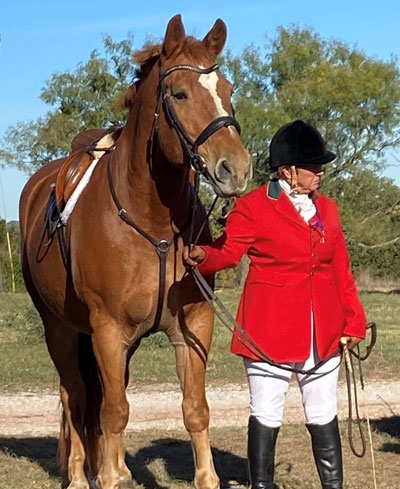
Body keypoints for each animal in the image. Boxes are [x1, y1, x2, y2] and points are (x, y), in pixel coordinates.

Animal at [19, 13, 250, 488]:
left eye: (228, 89)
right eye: (179, 93)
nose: (235, 169)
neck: (154, 224)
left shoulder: (192, 326)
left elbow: (194, 410)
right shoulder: (107, 330)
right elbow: (112, 412)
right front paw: (107, 475)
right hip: (61, 330)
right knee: (75, 397)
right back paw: (79, 474)